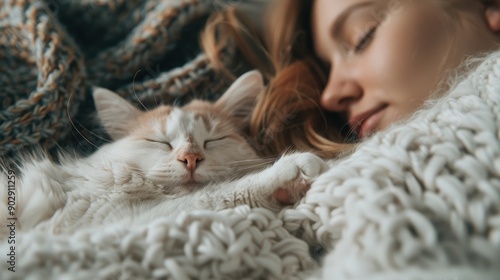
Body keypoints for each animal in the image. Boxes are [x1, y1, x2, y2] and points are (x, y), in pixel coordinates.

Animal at [0, 71, 328, 237]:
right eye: (160, 142)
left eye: (212, 140)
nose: (191, 158)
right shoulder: (108, 220)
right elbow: (223, 193)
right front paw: (293, 169)